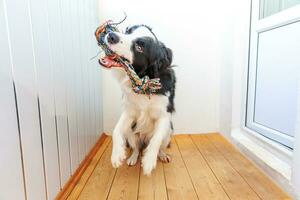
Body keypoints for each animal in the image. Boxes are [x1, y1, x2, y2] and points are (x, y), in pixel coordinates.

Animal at [103, 25, 176, 175]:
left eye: (139, 47)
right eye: (127, 32)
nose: (111, 35)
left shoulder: (164, 115)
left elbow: (156, 139)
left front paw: (148, 161)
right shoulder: (129, 112)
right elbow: (115, 130)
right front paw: (116, 155)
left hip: (168, 133)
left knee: (159, 144)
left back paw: (162, 155)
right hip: (132, 133)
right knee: (136, 148)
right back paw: (133, 158)